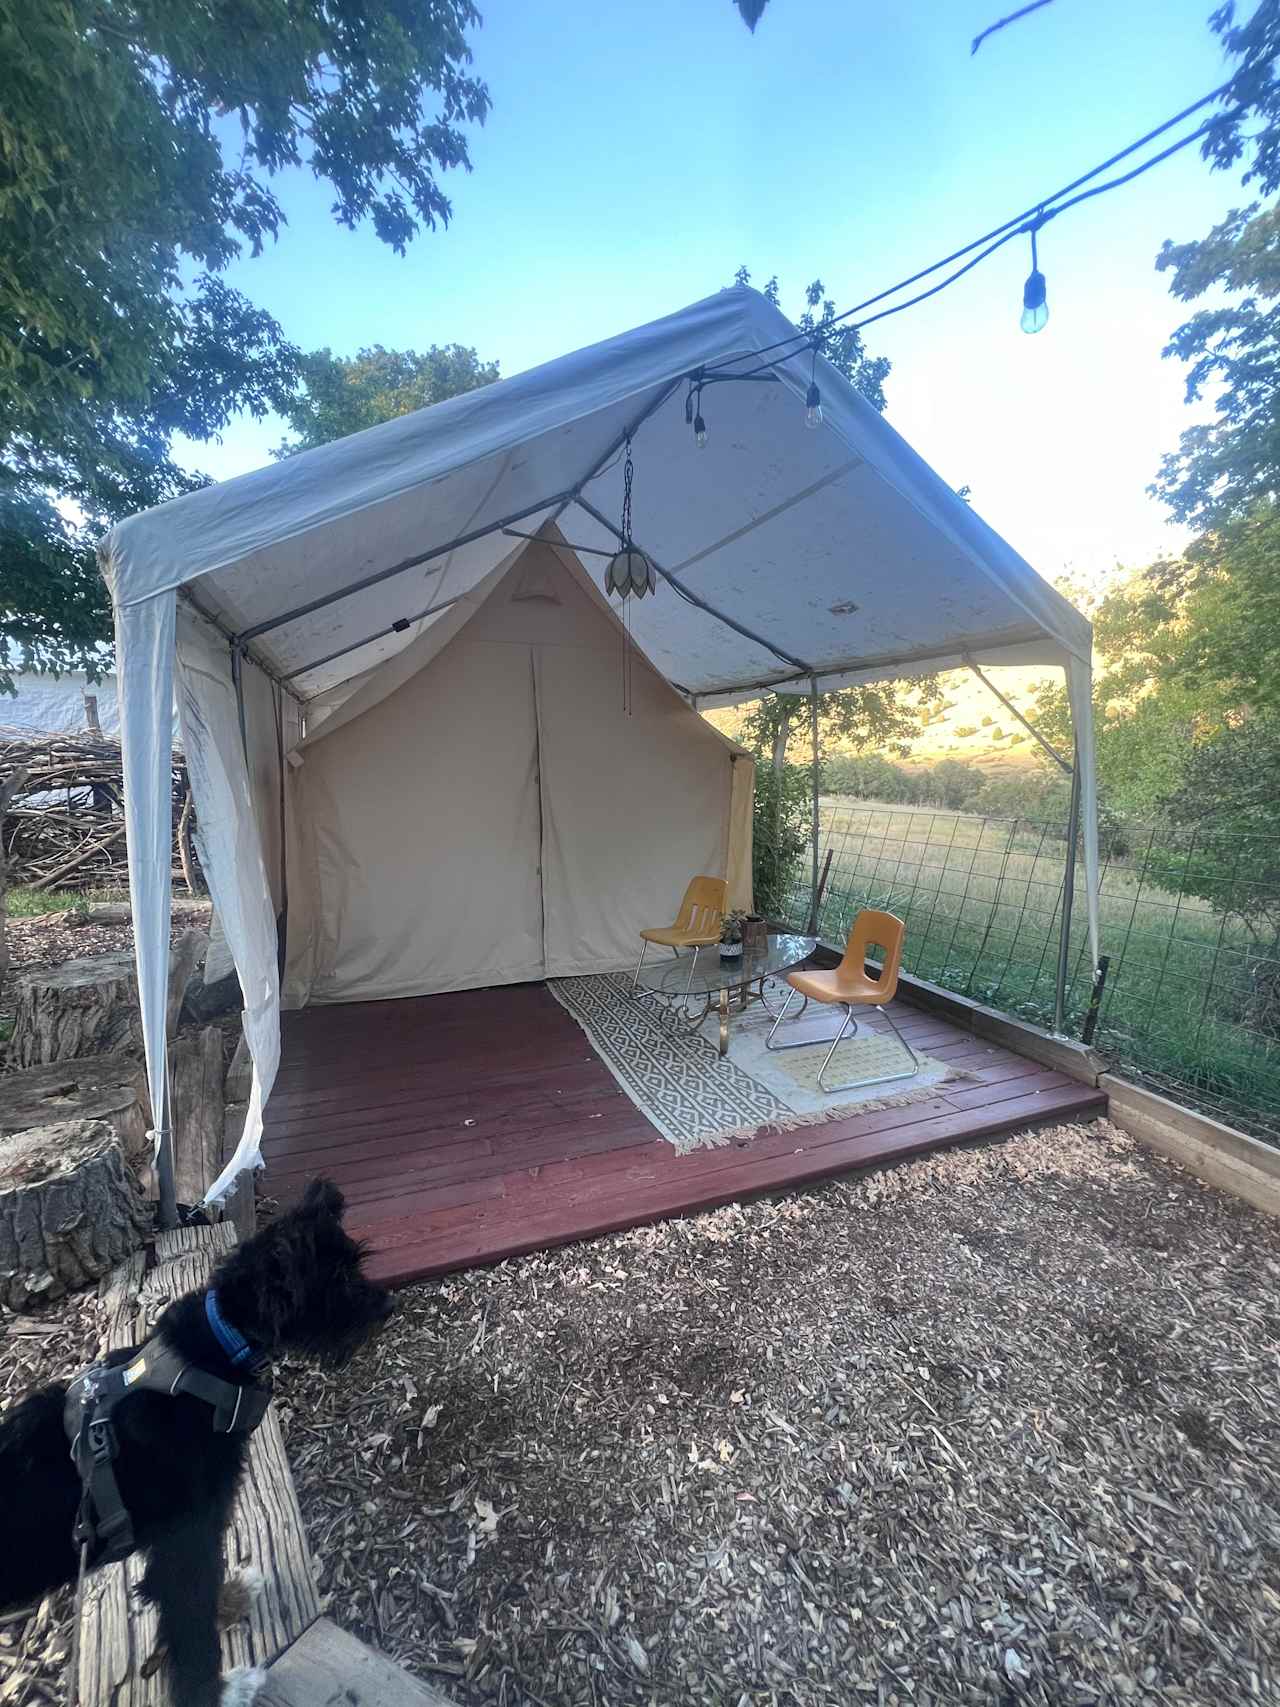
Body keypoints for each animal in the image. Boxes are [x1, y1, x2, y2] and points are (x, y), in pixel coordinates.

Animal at [0, 1181, 390, 1700]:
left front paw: (234, 1598)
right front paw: (224, 1690)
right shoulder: (189, 1536)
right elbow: (191, 1629)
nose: (388, 1306)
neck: (213, 1351)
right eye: (342, 1279)